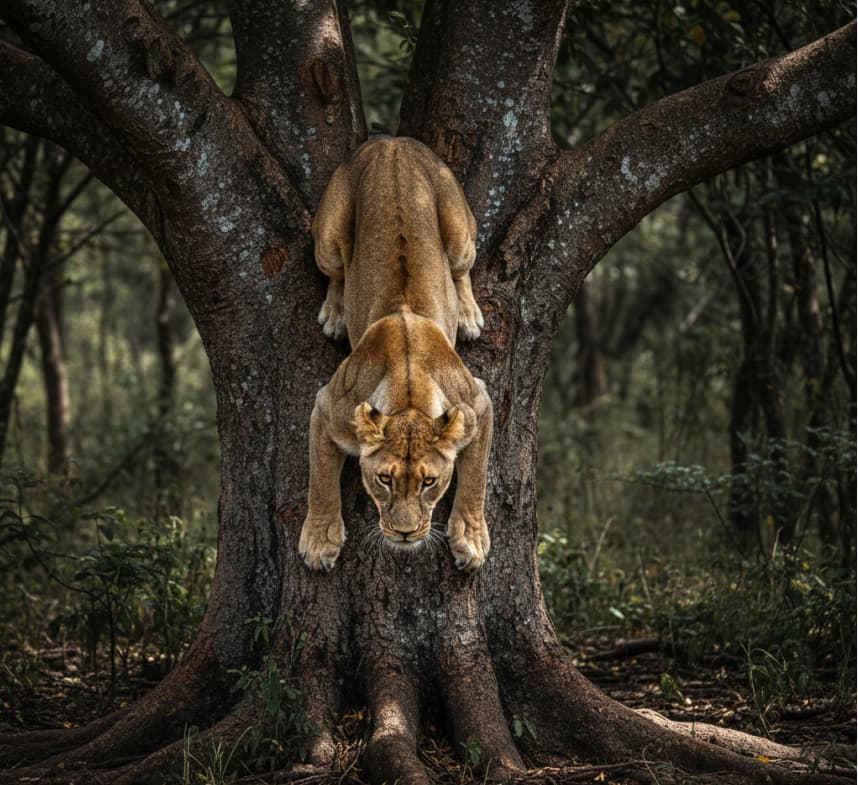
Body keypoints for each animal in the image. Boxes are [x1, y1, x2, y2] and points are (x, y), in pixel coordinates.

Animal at [298, 137, 492, 573]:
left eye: (429, 482)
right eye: (384, 480)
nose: (405, 534)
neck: (407, 391)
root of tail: (390, 143)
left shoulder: (477, 403)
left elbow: (476, 480)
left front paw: (471, 540)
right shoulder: (327, 408)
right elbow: (320, 480)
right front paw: (319, 542)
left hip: (460, 235)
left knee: (461, 271)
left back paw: (468, 315)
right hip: (328, 238)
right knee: (336, 273)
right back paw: (335, 314)